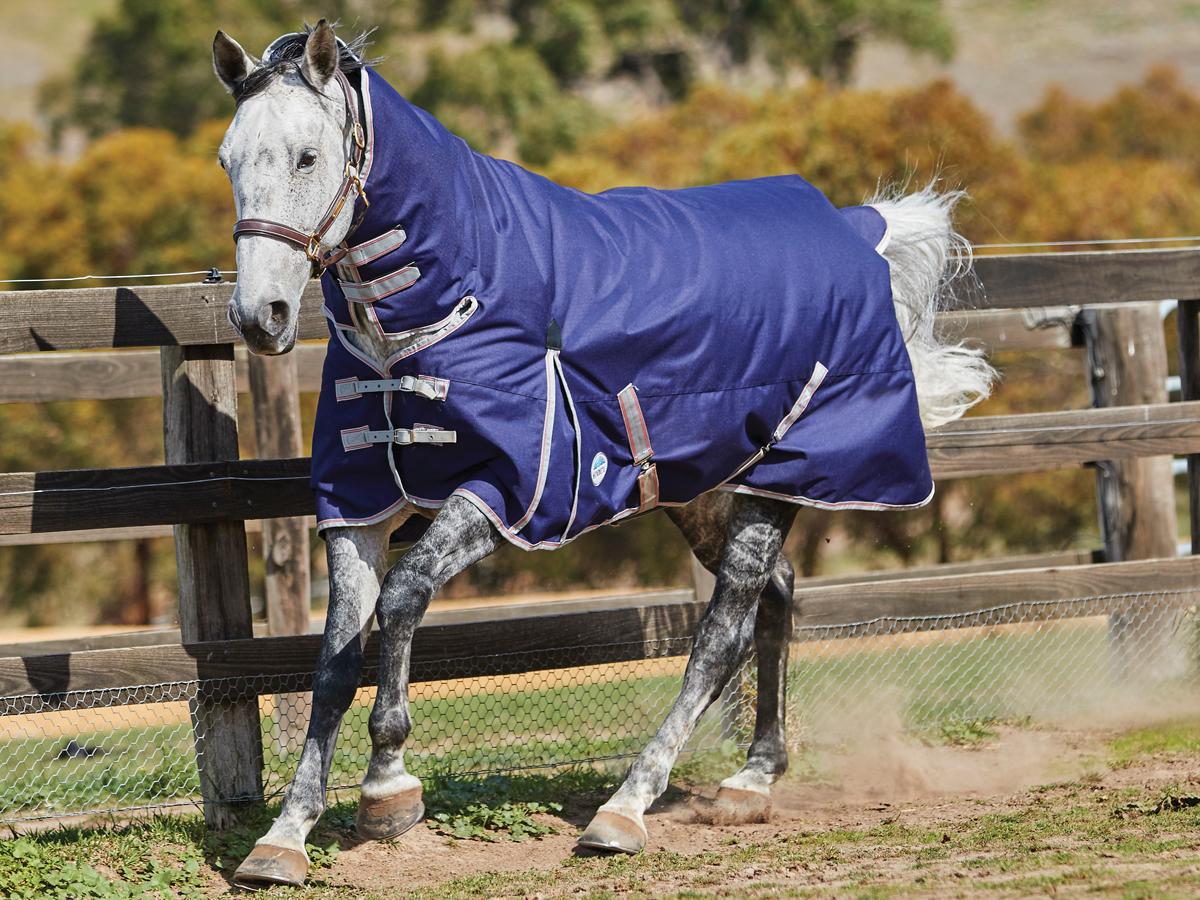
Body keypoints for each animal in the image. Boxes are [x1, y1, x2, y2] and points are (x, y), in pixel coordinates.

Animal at [213, 19, 993, 888]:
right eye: (228, 158)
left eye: (307, 156)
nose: (260, 316)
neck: (443, 302)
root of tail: (859, 233)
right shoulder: (359, 505)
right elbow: (334, 662)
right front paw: (284, 837)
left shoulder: (508, 491)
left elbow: (404, 598)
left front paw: (389, 789)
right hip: (708, 490)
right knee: (778, 598)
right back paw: (750, 781)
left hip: (781, 480)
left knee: (719, 638)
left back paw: (625, 809)